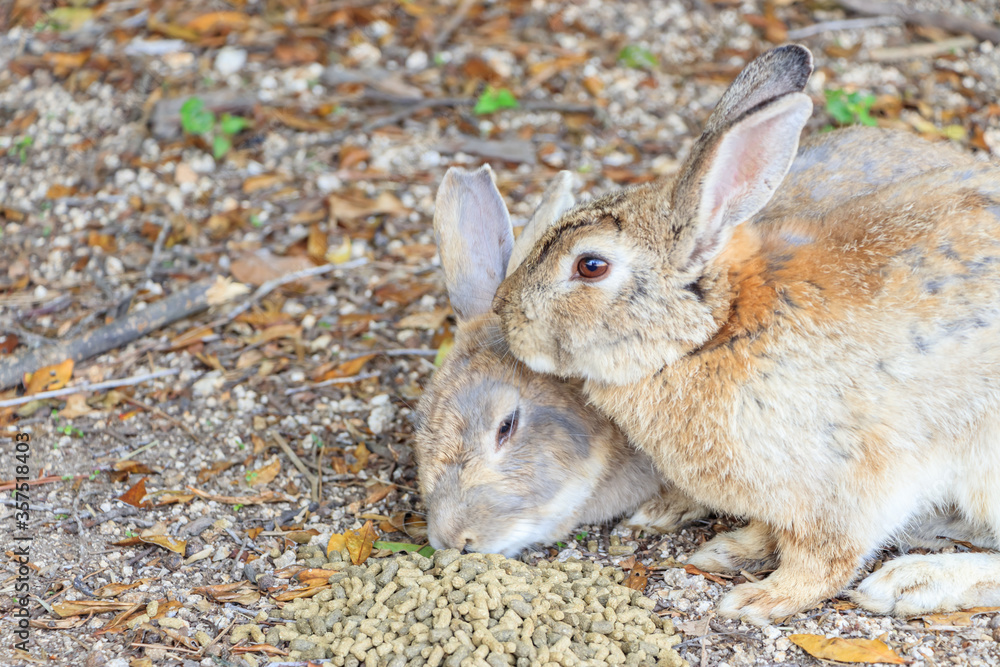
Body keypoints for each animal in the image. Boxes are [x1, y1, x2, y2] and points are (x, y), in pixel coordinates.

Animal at [489, 43, 1000, 623]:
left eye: (590, 266)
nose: (503, 313)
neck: (713, 334)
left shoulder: (842, 487)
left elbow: (823, 559)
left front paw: (760, 598)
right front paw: (731, 551)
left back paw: (909, 582)